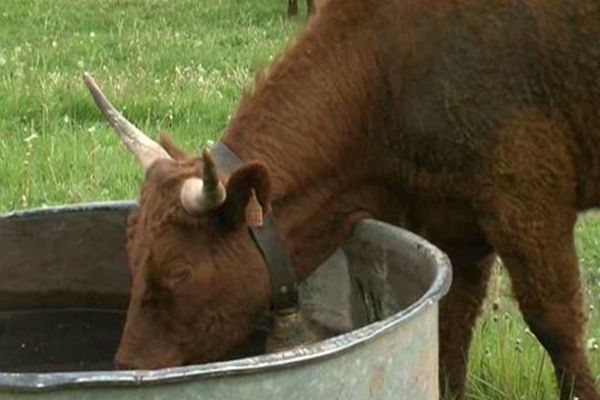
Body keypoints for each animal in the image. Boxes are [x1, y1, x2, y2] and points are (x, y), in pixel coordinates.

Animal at [83, 0, 600, 398]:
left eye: (178, 270)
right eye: (131, 252)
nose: (128, 365)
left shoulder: (526, 199)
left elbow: (556, 322)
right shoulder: (453, 222)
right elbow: (451, 327)